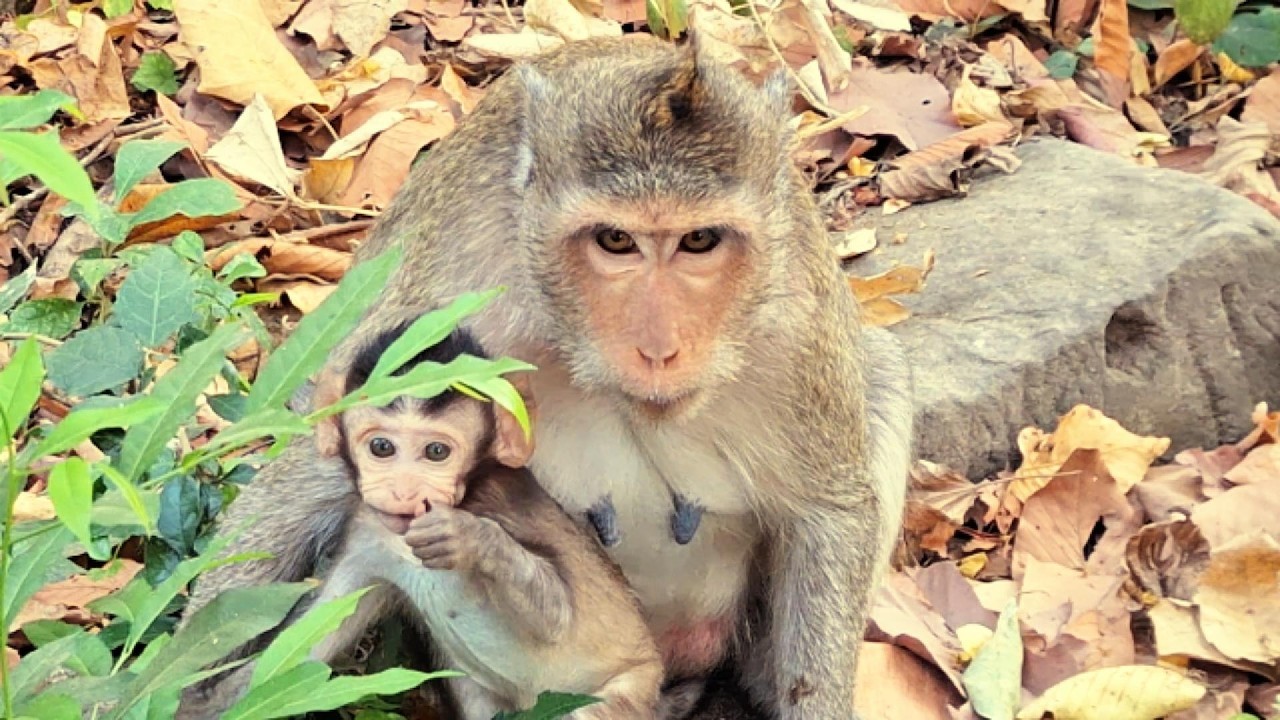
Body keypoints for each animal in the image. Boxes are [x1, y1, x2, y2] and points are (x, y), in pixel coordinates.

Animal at [181, 34, 913, 720]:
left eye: (699, 241)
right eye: (615, 241)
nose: (659, 349)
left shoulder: (796, 330)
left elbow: (829, 510)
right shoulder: (457, 292)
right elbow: (317, 462)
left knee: (883, 375)